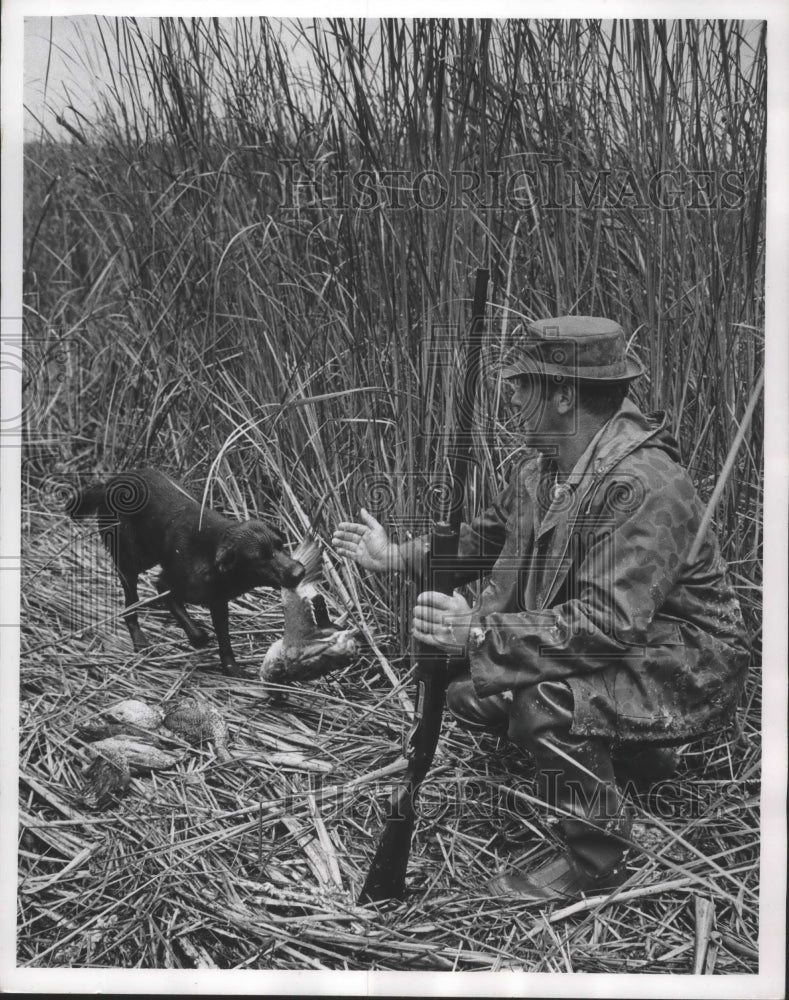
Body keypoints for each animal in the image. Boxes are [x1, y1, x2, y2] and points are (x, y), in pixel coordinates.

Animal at [68, 470, 304, 676]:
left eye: (281, 545)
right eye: (260, 558)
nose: (299, 571)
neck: (210, 556)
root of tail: (110, 483)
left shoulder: (219, 603)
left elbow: (225, 640)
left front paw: (232, 668)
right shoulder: (166, 585)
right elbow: (191, 623)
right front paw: (199, 639)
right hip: (132, 561)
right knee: (129, 606)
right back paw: (140, 641)